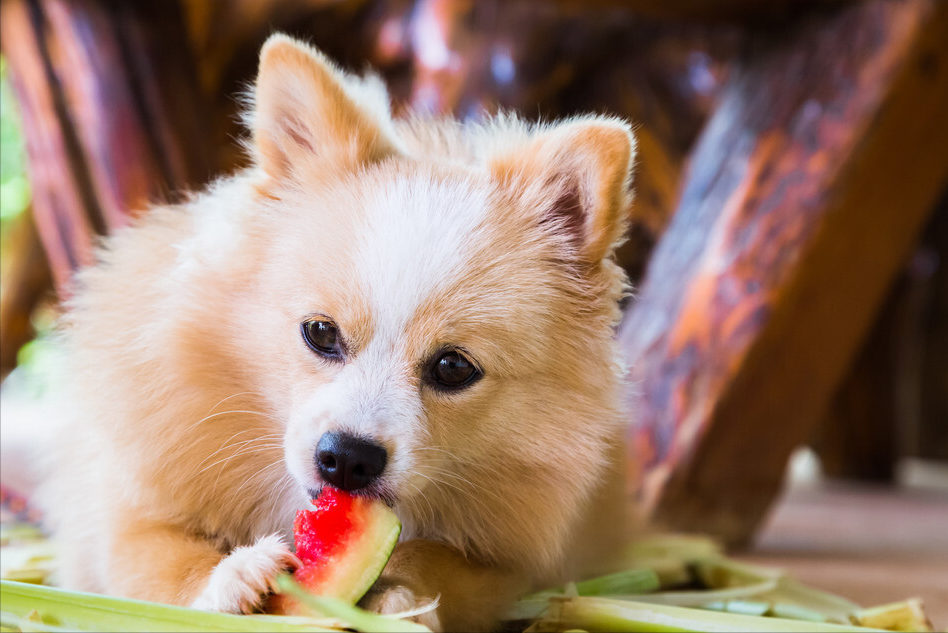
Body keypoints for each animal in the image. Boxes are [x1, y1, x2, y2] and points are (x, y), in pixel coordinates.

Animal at [42, 35, 636, 632]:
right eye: (320, 333)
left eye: (453, 367)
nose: (348, 457)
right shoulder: (119, 520)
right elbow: (160, 562)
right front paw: (231, 576)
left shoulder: (504, 567)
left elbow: (439, 562)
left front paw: (400, 596)